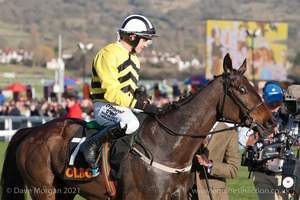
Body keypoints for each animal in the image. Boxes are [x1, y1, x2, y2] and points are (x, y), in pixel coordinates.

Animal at [0, 53, 278, 200]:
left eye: (253, 86)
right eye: (242, 89)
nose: (271, 122)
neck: (168, 146)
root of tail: (30, 132)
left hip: (65, 189)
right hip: (42, 189)